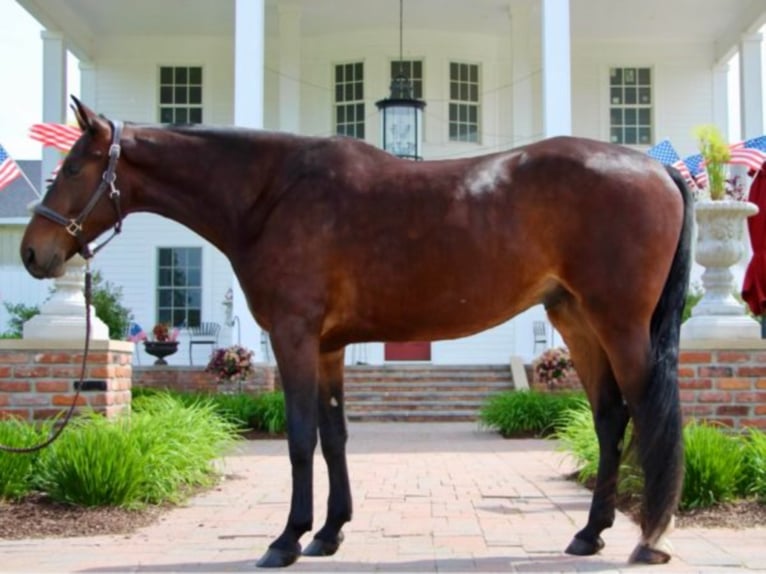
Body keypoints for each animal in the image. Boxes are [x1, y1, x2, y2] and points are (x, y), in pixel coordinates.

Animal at [19, 98, 696, 568]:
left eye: (74, 167)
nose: (31, 252)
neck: (270, 195)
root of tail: (657, 170)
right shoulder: (327, 346)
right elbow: (335, 435)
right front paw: (329, 532)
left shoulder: (294, 336)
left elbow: (298, 437)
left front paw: (286, 540)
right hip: (575, 318)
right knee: (610, 417)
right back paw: (589, 533)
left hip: (619, 322)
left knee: (649, 414)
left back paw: (649, 539)